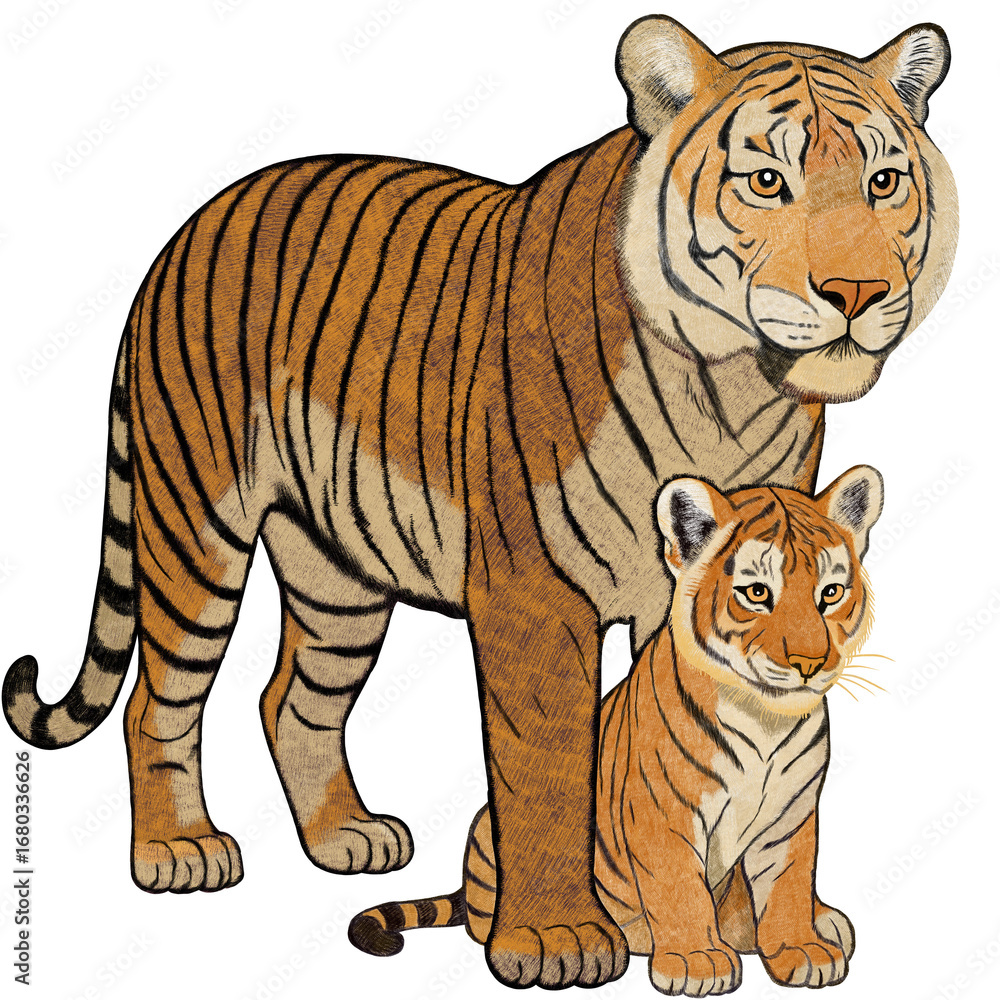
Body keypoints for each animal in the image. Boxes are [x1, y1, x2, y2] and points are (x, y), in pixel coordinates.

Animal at [348, 465, 882, 995]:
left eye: (830, 593)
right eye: (757, 594)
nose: (810, 663)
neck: (764, 717)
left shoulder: (791, 815)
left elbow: (789, 884)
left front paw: (801, 949)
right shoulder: (664, 813)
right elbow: (680, 887)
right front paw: (698, 961)